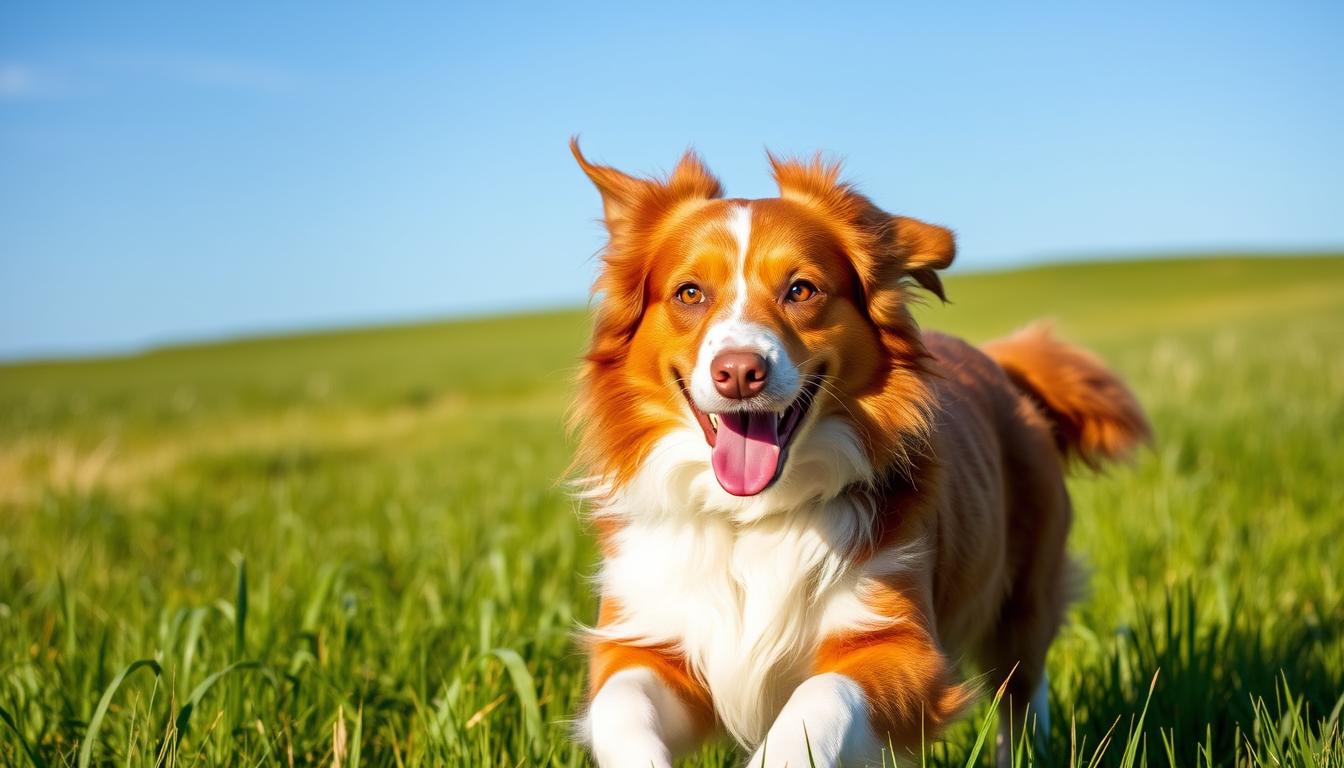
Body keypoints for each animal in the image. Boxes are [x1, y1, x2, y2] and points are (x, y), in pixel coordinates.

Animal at [572, 139, 1150, 768]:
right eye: (689, 293)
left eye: (801, 289)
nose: (740, 372)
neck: (754, 519)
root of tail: (998, 361)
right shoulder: (645, 635)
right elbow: (621, 704)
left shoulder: (901, 644)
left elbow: (819, 701)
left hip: (1025, 596)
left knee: (1022, 692)